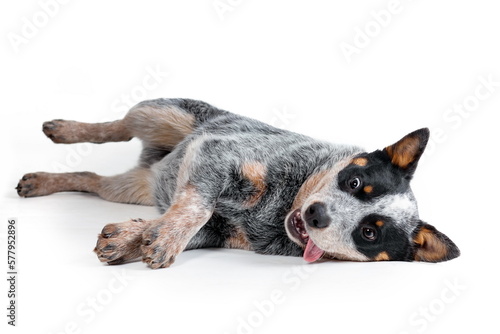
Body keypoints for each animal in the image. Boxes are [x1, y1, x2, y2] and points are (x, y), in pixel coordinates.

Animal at [15, 98, 460, 268]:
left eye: (369, 232)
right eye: (353, 181)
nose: (317, 214)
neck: (282, 207)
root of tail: (156, 162)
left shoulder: (220, 233)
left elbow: (183, 219)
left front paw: (132, 238)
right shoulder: (219, 151)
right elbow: (197, 205)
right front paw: (162, 239)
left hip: (131, 188)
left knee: (91, 178)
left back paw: (40, 181)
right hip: (161, 112)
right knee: (115, 127)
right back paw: (61, 129)